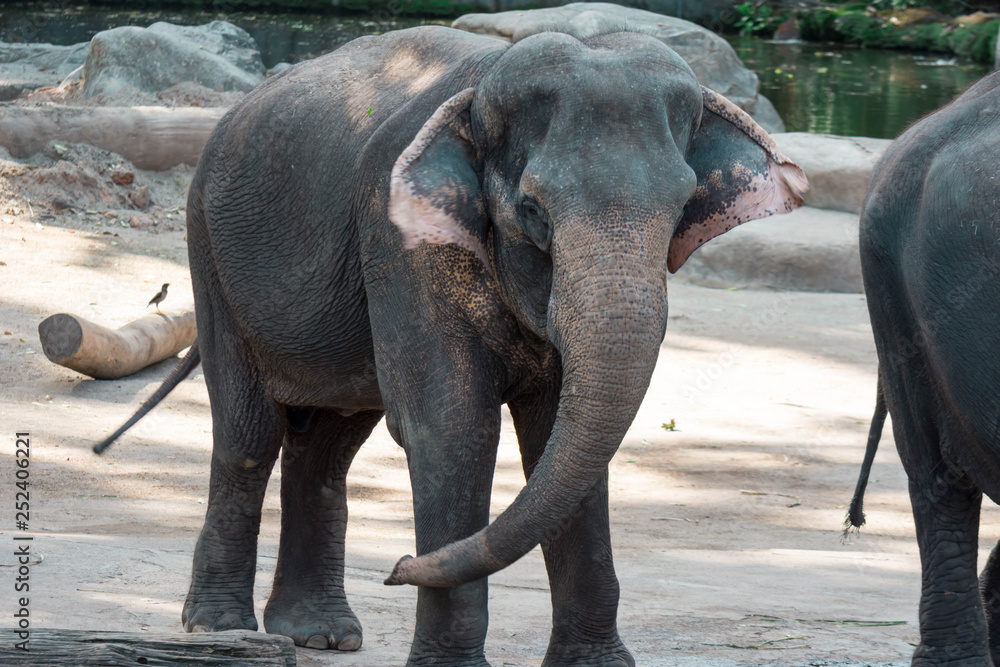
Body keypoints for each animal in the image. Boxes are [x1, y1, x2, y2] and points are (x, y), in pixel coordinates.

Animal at [96, 25, 806, 666]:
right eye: (532, 210)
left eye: (683, 205)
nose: (398, 565)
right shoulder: (396, 233)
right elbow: (451, 426)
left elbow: (557, 438)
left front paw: (597, 666)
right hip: (210, 258)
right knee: (250, 434)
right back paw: (220, 628)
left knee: (328, 444)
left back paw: (320, 636)